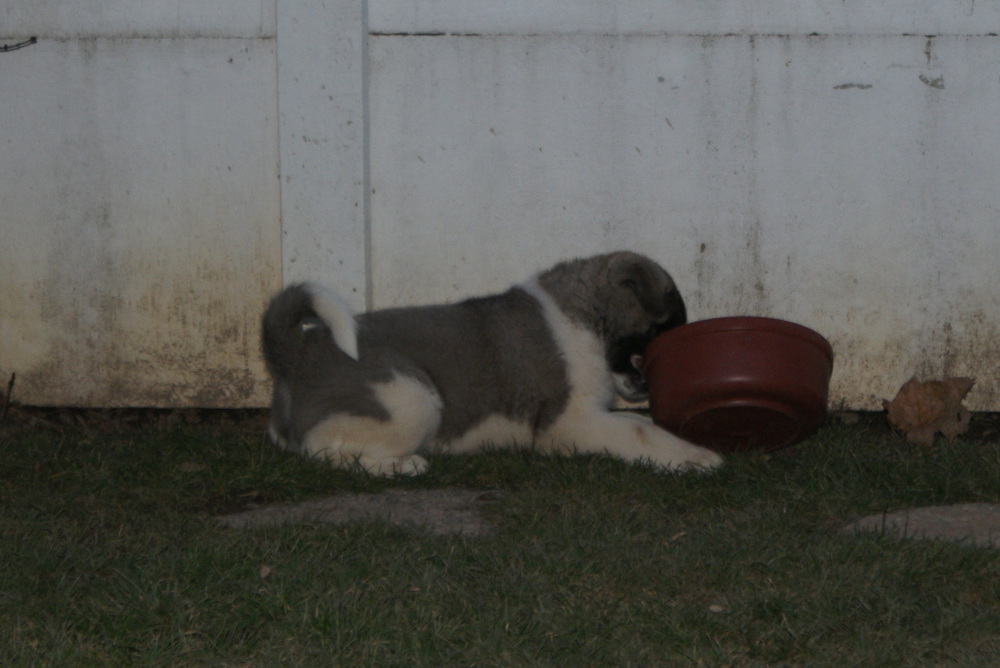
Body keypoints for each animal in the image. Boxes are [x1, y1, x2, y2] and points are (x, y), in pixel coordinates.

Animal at [261, 251, 723, 476]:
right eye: (672, 321)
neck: (586, 320)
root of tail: (297, 353)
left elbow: (637, 423)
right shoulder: (566, 422)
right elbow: (638, 431)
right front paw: (695, 457)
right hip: (412, 397)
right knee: (322, 448)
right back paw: (401, 465)